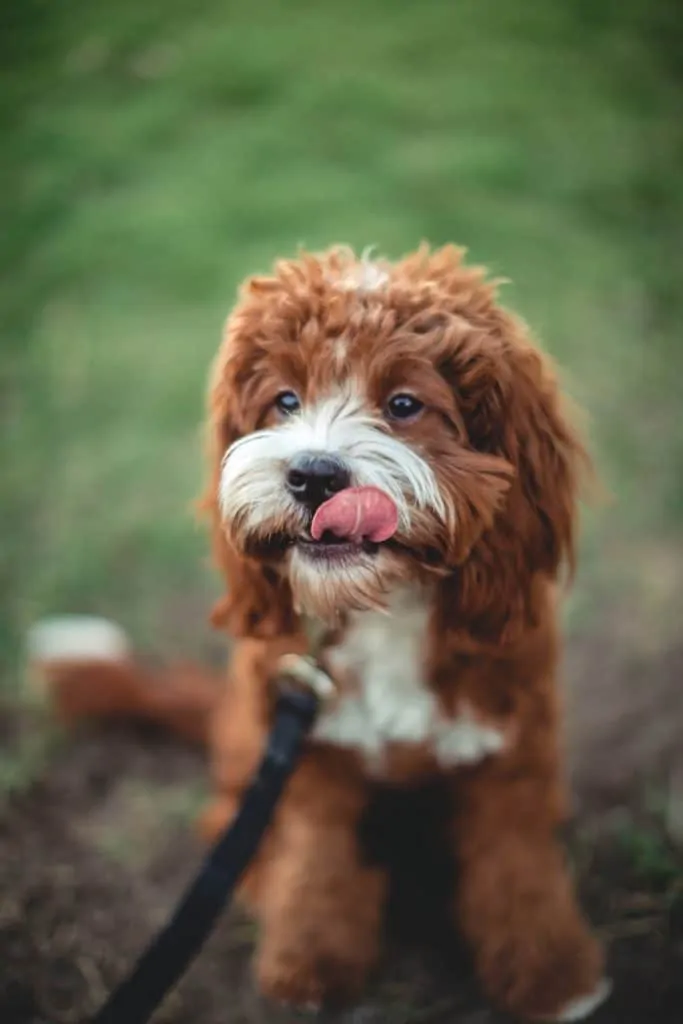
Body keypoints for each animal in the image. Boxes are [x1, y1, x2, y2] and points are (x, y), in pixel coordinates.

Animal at [30, 245, 610, 1015]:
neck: (384, 607)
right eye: (284, 401)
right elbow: (317, 859)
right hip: (248, 741)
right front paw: (310, 958)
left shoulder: (509, 745)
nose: (311, 475)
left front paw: (552, 976)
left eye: (404, 404)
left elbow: (516, 864)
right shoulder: (306, 754)